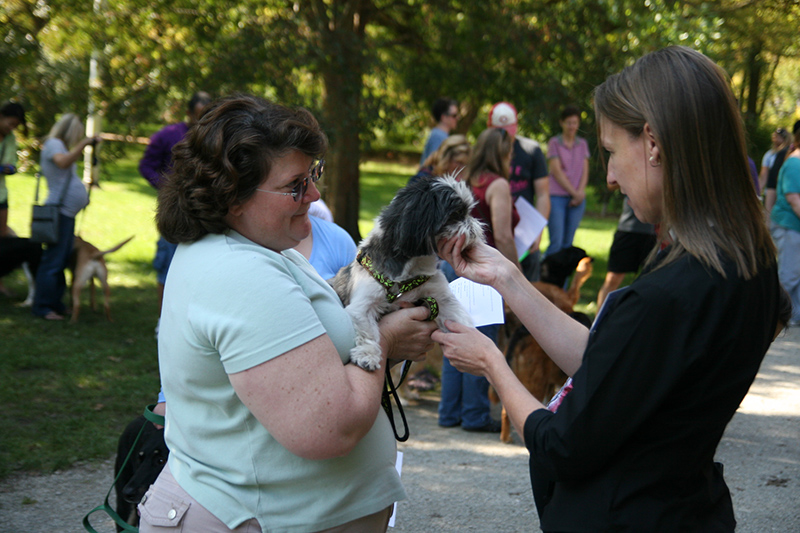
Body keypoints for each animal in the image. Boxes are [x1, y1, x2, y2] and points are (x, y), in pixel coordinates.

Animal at [328, 175, 484, 370]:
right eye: (456, 215)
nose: (475, 224)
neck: (408, 274)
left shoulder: (439, 296)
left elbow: (457, 315)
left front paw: (473, 344)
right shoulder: (363, 304)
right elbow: (367, 331)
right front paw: (367, 354)